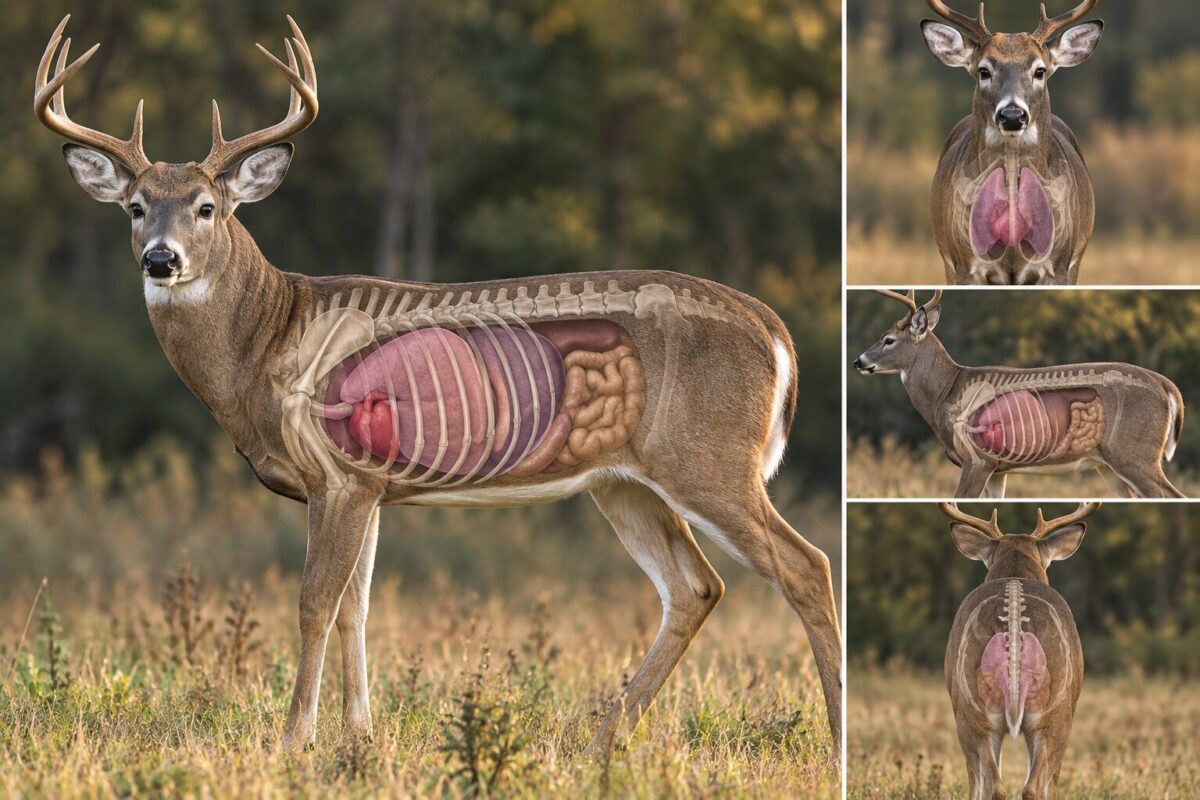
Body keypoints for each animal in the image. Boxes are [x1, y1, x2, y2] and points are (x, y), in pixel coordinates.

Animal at [33, 16, 842, 757]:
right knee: (695, 587)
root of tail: (775, 331)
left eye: (208, 207)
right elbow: (356, 608)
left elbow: (314, 602)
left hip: (707, 458)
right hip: (625, 482)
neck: (269, 340)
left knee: (806, 566)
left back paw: (833, 744)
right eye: (135, 207)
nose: (161, 259)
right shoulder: (371, 485)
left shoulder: (341, 474)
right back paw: (598, 743)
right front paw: (359, 736)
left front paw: (293, 740)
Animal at [853, 290, 1185, 498]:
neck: (948, 391)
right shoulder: (999, 470)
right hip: (1108, 465)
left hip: (1135, 454)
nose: (858, 361)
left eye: (888, 340)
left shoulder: (978, 460)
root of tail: (1167, 386)